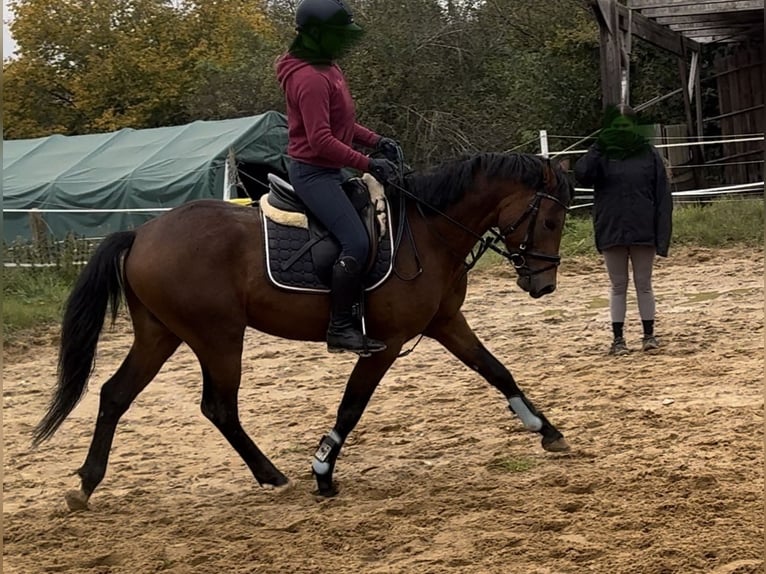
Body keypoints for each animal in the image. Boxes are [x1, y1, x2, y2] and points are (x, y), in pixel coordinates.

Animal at [36, 151, 576, 510]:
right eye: (551, 219)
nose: (544, 284)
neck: (427, 231)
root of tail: (142, 232)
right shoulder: (384, 344)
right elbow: (351, 407)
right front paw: (322, 472)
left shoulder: (446, 322)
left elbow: (498, 372)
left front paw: (548, 431)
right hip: (217, 337)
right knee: (218, 407)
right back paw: (273, 476)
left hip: (161, 334)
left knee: (115, 394)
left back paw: (86, 484)